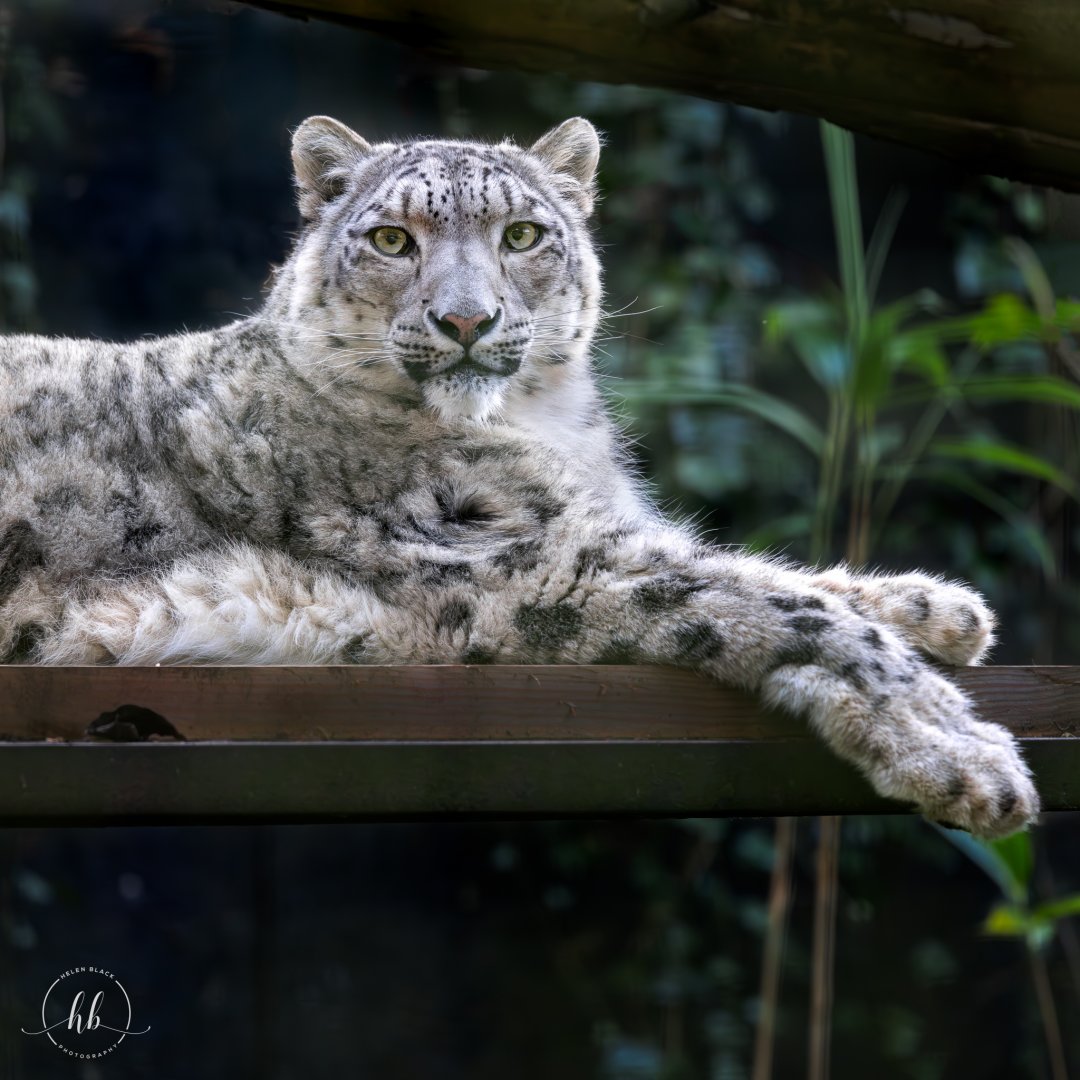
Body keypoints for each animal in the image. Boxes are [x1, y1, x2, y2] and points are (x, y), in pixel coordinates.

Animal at [0, 114, 1038, 837]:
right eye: (392, 240)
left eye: (524, 235)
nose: (468, 320)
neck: (549, 430)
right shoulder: (526, 566)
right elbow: (778, 604)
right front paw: (964, 753)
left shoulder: (608, 526)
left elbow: (764, 569)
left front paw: (940, 608)